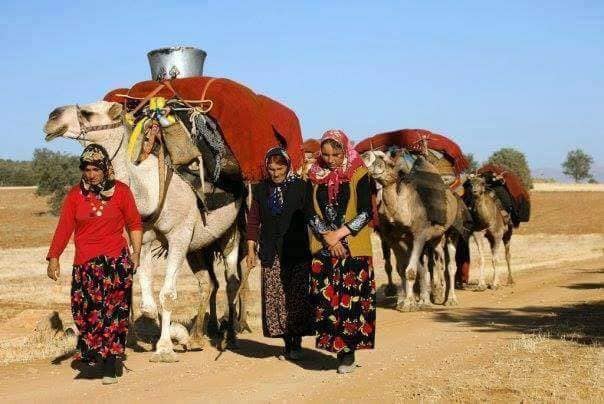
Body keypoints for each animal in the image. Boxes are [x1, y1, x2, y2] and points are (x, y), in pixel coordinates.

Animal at [42, 102, 247, 362]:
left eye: (88, 113)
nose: (52, 118)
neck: (149, 189)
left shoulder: (179, 235)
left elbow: (167, 295)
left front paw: (165, 348)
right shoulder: (147, 236)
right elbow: (147, 300)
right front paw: (173, 334)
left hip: (231, 230)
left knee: (231, 281)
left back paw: (230, 337)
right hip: (198, 246)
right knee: (207, 282)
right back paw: (197, 337)